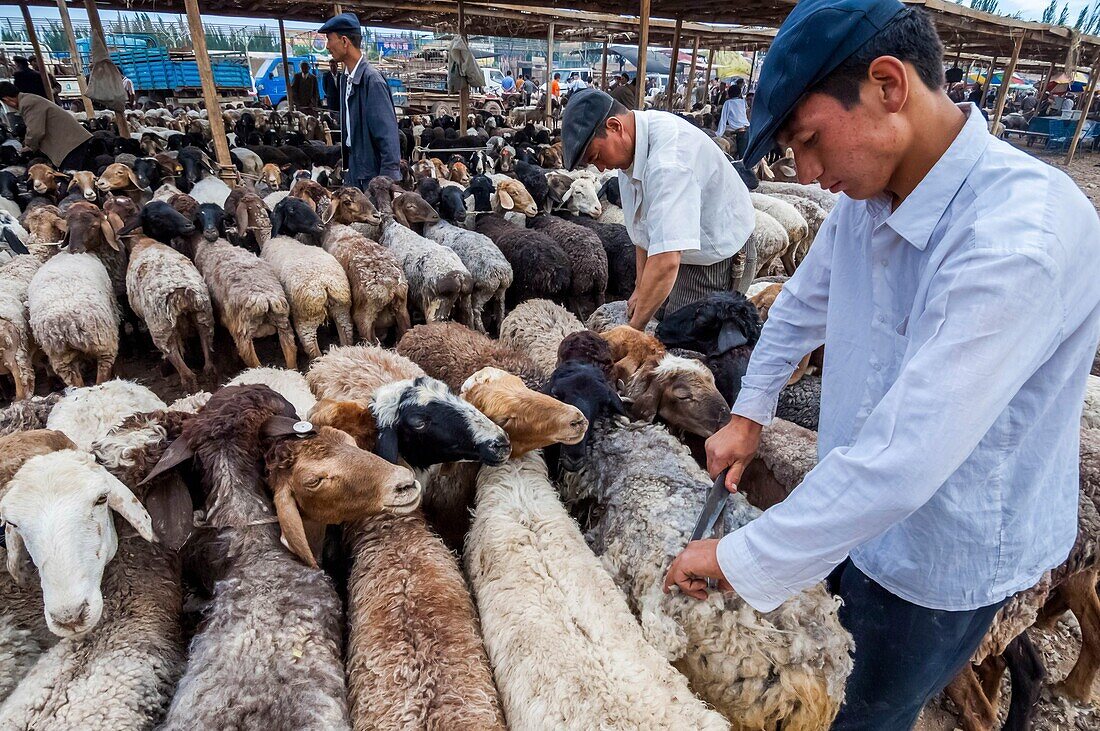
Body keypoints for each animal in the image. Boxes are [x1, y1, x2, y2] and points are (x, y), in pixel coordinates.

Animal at [125, 236, 215, 391]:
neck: (142, 242)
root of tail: (180, 293)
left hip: (161, 328)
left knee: (181, 367)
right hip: (203, 314)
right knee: (207, 356)